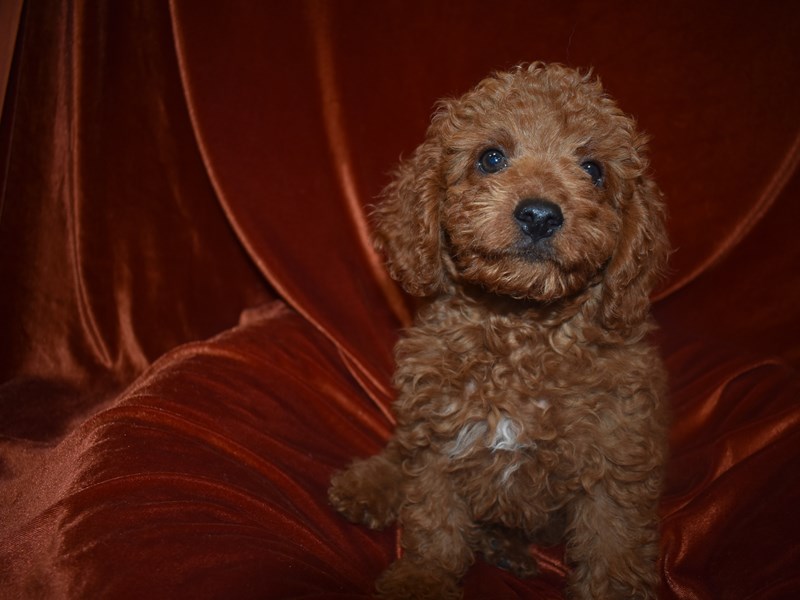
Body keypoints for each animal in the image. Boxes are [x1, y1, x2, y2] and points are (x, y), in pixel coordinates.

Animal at [326, 62, 668, 600]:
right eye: (491, 158)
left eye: (593, 169)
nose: (540, 214)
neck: (519, 330)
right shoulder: (439, 436)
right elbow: (435, 523)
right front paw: (423, 579)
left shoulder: (616, 458)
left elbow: (614, 549)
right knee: (400, 447)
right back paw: (369, 484)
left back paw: (506, 549)